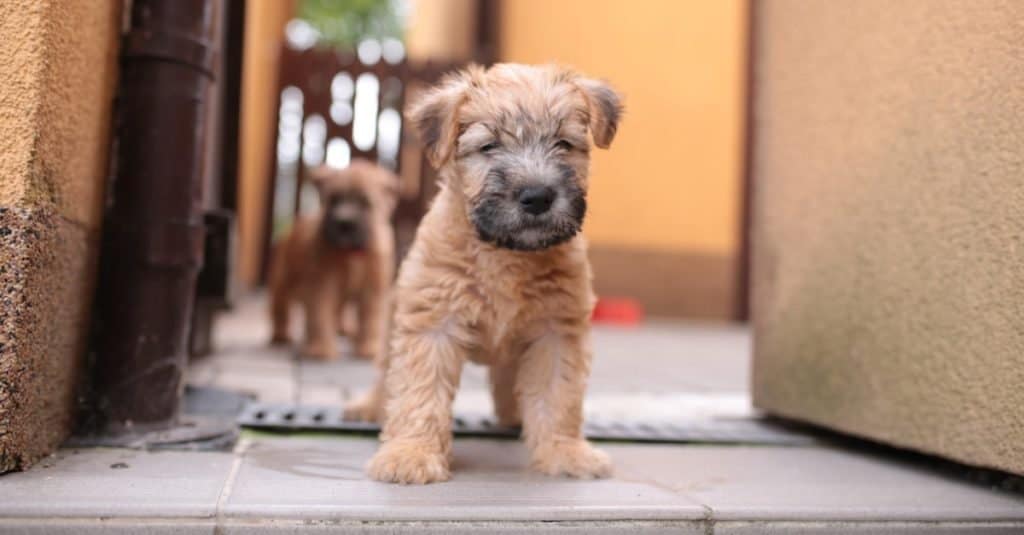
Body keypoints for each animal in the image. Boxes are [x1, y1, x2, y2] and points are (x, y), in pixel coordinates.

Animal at [268, 157, 395, 358]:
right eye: (334, 199)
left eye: (364, 202)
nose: (344, 224)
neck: (351, 253)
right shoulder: (322, 284)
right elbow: (319, 314)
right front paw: (320, 348)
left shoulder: (373, 287)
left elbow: (371, 319)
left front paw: (369, 346)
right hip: (283, 280)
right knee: (280, 307)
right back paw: (280, 335)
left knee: (339, 311)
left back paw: (344, 329)